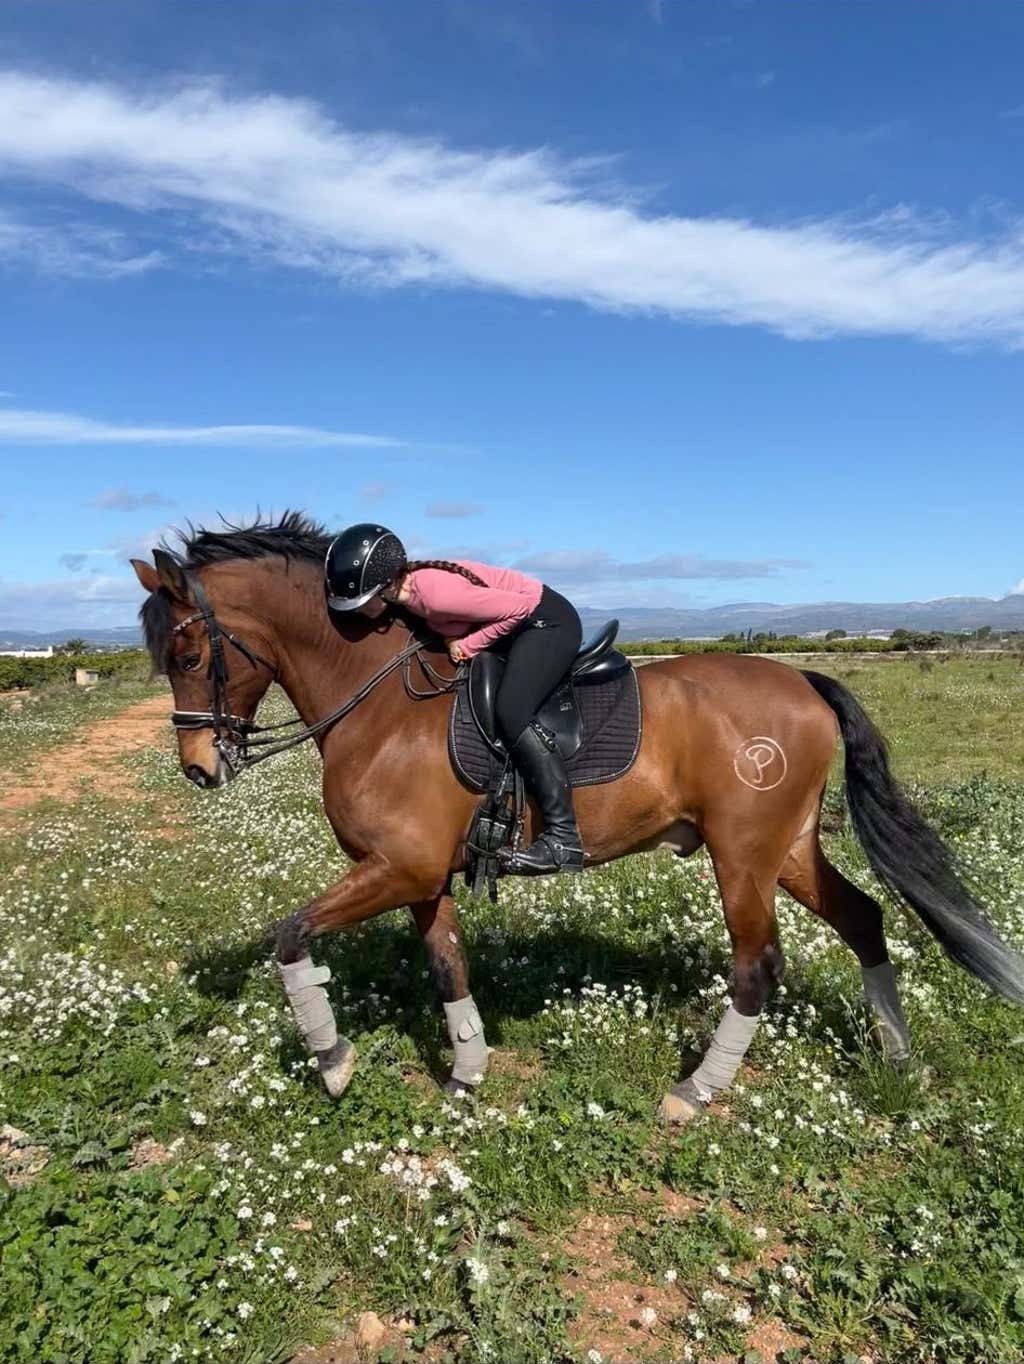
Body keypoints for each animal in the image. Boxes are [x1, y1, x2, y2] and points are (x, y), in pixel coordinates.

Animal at [131, 513, 1024, 1122]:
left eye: (187, 652)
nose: (200, 768)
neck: (379, 700)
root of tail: (803, 681)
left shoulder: (398, 868)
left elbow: (291, 939)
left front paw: (333, 1060)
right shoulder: (418, 875)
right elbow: (448, 967)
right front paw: (466, 1072)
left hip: (743, 854)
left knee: (757, 967)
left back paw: (695, 1090)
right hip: (789, 848)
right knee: (865, 918)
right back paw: (899, 1058)